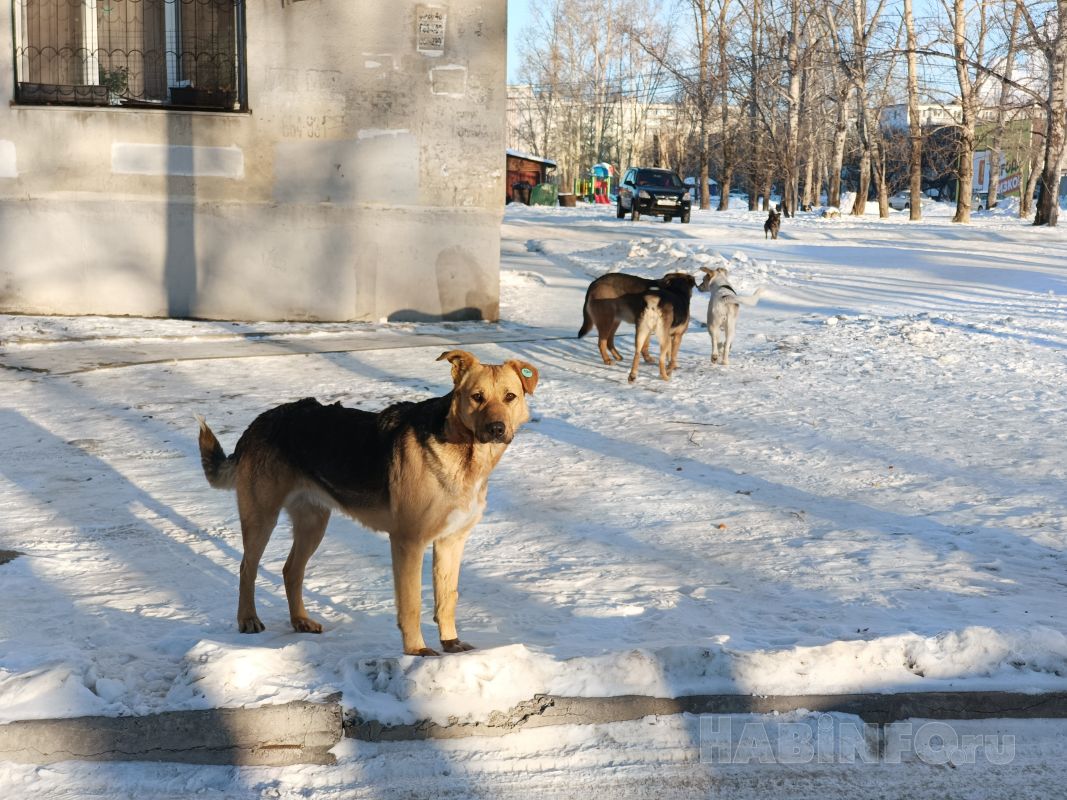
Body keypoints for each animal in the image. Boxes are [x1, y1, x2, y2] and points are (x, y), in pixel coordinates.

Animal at [197, 349, 537, 657]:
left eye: (510, 397)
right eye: (477, 397)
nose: (496, 429)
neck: (464, 452)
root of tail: (258, 422)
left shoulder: (451, 542)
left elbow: (447, 598)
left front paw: (451, 643)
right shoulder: (408, 542)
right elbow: (412, 603)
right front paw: (416, 650)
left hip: (313, 524)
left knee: (291, 570)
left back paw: (300, 621)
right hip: (262, 518)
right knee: (247, 568)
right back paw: (248, 619)